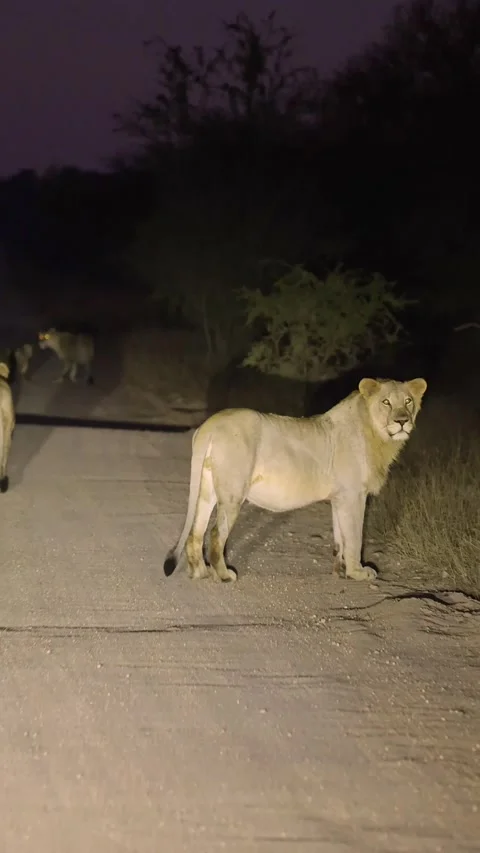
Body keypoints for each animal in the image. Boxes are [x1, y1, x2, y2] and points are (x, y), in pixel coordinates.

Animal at [163, 377, 427, 583]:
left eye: (408, 401)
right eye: (386, 402)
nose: (402, 421)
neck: (376, 434)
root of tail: (210, 425)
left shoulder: (340, 497)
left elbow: (340, 537)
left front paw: (340, 570)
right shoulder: (354, 495)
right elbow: (354, 536)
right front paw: (358, 572)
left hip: (207, 487)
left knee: (196, 531)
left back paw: (200, 572)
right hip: (233, 491)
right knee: (216, 534)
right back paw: (224, 575)